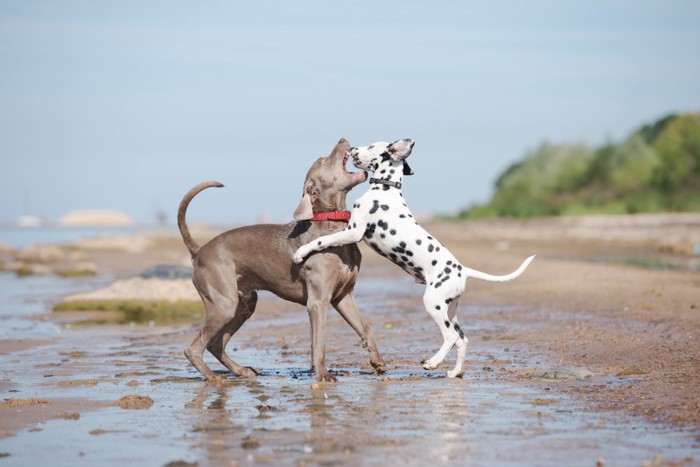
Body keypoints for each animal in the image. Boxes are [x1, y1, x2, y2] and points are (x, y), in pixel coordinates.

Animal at [174, 139, 382, 384]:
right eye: (323, 159)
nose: (342, 140)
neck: (334, 228)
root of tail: (199, 251)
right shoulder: (317, 302)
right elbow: (319, 343)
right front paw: (323, 375)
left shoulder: (344, 296)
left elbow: (365, 328)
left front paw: (377, 361)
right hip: (224, 304)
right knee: (194, 348)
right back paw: (213, 376)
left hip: (245, 303)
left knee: (216, 344)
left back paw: (242, 370)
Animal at [292, 137, 536, 378]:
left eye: (371, 146)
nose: (351, 147)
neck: (386, 188)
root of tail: (462, 270)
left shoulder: (354, 231)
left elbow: (323, 240)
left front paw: (300, 252)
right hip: (450, 309)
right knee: (462, 339)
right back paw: (454, 372)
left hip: (433, 304)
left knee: (451, 337)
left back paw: (432, 363)